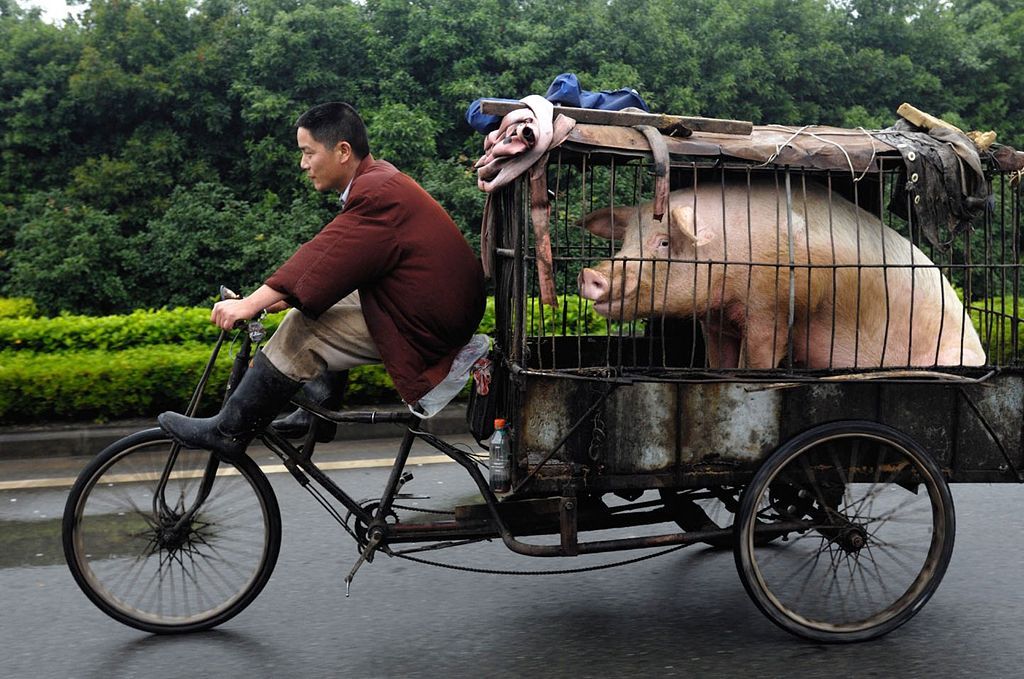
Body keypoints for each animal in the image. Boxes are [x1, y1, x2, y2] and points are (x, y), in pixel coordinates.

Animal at [577, 178, 983, 368]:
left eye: (663, 242)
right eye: (626, 240)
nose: (590, 274)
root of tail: (980, 351)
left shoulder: (771, 308)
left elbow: (757, 359)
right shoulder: (715, 321)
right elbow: (719, 362)